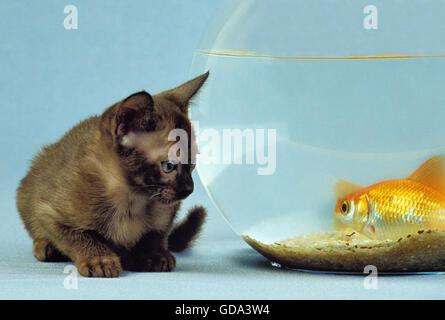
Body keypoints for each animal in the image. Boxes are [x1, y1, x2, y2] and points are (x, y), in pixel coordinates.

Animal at [16, 71, 209, 276]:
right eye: (168, 166)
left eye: (193, 164)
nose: (189, 188)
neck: (131, 199)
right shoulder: (47, 210)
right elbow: (80, 236)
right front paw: (100, 259)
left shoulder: (167, 212)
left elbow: (156, 234)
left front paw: (154, 255)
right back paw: (45, 247)